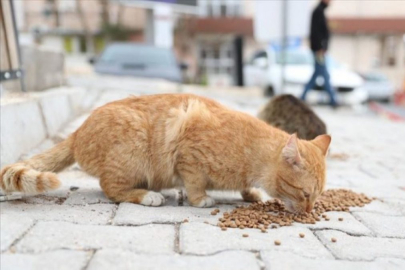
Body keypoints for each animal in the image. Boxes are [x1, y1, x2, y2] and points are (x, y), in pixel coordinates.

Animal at [0, 94, 328, 213]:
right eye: (305, 193)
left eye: (317, 196)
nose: (310, 211)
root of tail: (78, 132)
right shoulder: (189, 156)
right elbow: (195, 184)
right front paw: (200, 199)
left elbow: (246, 186)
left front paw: (251, 194)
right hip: (132, 152)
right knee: (111, 188)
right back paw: (149, 196)